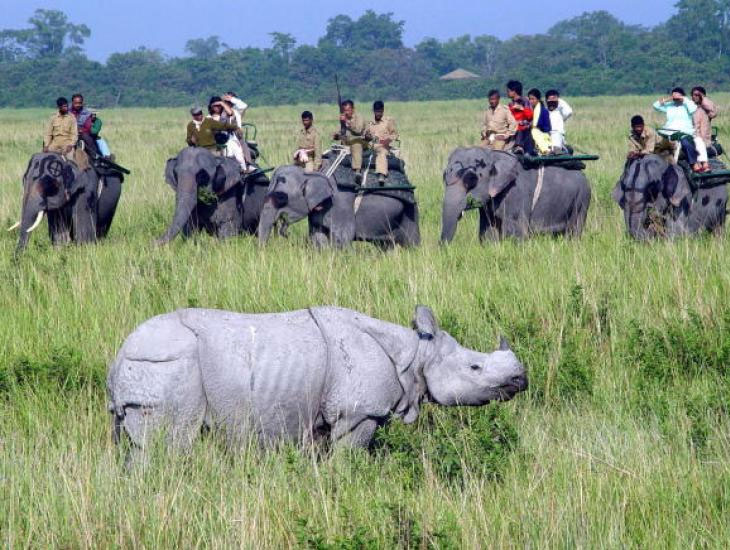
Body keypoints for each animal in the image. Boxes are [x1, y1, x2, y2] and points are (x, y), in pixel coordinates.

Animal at [108, 306, 528, 462]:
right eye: (475, 367)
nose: (521, 379)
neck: (415, 354)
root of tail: (119, 357)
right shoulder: (358, 414)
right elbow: (349, 460)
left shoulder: (324, 418)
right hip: (166, 365)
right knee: (170, 446)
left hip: (149, 367)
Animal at [256, 165, 418, 249]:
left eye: (281, 197)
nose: (284, 232)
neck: (311, 173)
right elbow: (318, 235)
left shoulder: (340, 202)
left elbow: (342, 237)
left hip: (410, 208)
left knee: (411, 240)